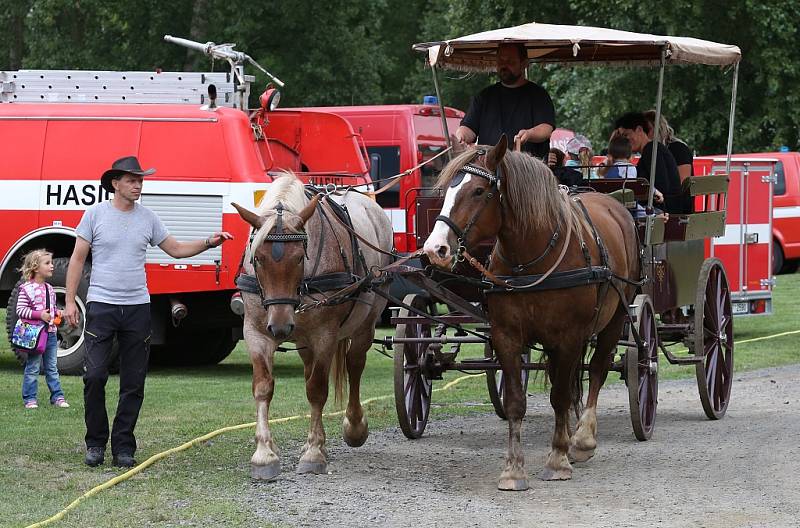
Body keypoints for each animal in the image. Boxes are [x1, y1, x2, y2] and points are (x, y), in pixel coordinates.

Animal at [231, 172, 394, 478]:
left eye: (299, 258)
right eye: (257, 258)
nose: (280, 327)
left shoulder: (324, 335)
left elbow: (317, 389)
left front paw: (315, 452)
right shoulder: (256, 332)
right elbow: (263, 387)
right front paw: (264, 454)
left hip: (364, 324)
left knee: (355, 365)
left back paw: (354, 426)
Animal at [422, 136, 640, 490]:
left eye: (479, 191)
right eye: (446, 191)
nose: (434, 249)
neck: (531, 257)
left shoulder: (569, 337)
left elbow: (559, 396)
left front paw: (558, 459)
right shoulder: (507, 336)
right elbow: (517, 401)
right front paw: (513, 469)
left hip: (616, 316)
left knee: (597, 369)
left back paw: (582, 439)